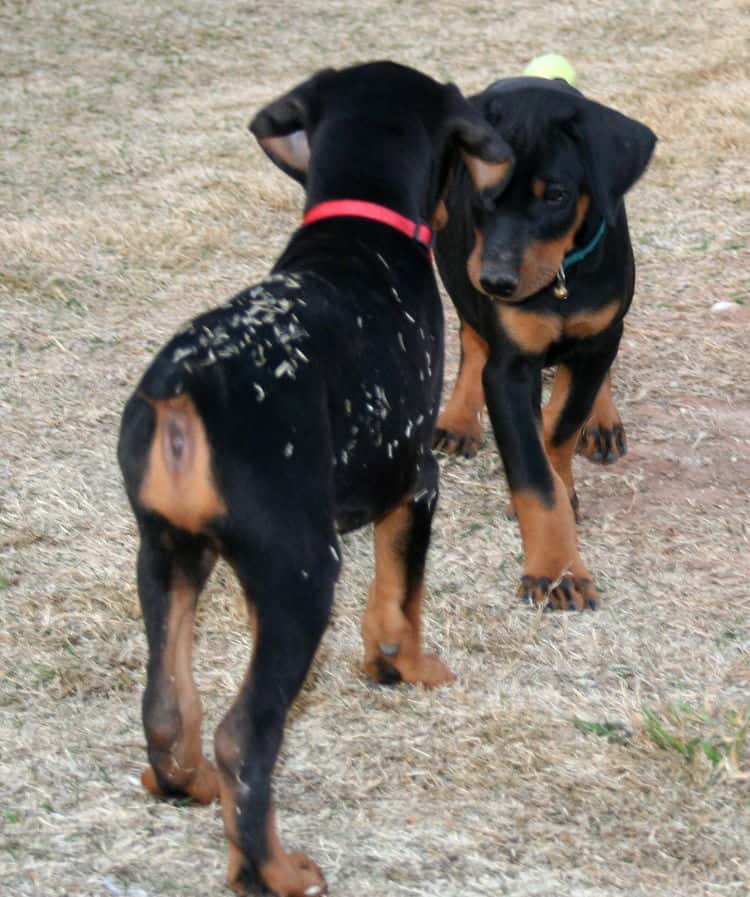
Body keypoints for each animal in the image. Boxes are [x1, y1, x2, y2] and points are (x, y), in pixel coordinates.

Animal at [119, 63, 516, 896]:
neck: (358, 220)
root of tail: (184, 389)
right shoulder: (416, 480)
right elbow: (400, 601)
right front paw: (407, 667)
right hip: (298, 575)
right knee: (245, 735)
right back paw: (273, 867)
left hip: (166, 552)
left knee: (166, 705)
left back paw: (185, 784)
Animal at [434, 77, 656, 608]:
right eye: (482, 190)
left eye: (555, 194)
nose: (497, 282)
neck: (560, 280)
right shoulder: (510, 368)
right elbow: (535, 475)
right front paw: (556, 570)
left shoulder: (596, 340)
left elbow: (560, 429)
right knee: (471, 336)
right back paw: (458, 420)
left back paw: (603, 421)